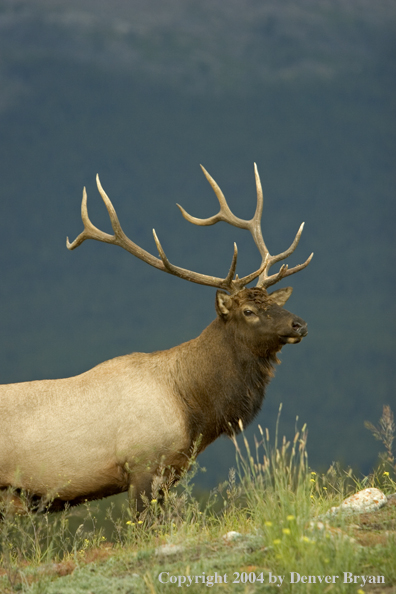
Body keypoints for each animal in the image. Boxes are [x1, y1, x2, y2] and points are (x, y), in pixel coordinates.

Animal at [0, 163, 312, 512]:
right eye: (248, 311)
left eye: (274, 302)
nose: (299, 324)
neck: (194, 409)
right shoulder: (142, 463)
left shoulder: (170, 471)